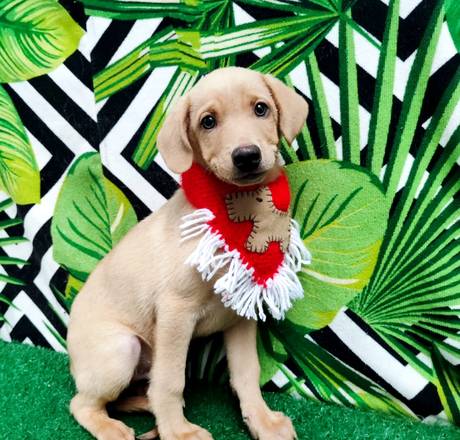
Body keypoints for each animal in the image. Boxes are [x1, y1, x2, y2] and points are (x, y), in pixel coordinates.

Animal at [67, 66, 308, 440]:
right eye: (208, 121)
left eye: (261, 108)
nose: (246, 155)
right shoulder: (175, 311)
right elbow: (171, 381)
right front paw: (178, 432)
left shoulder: (240, 316)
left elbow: (247, 373)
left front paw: (262, 420)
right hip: (121, 350)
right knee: (83, 402)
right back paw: (113, 427)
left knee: (129, 393)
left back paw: (143, 405)